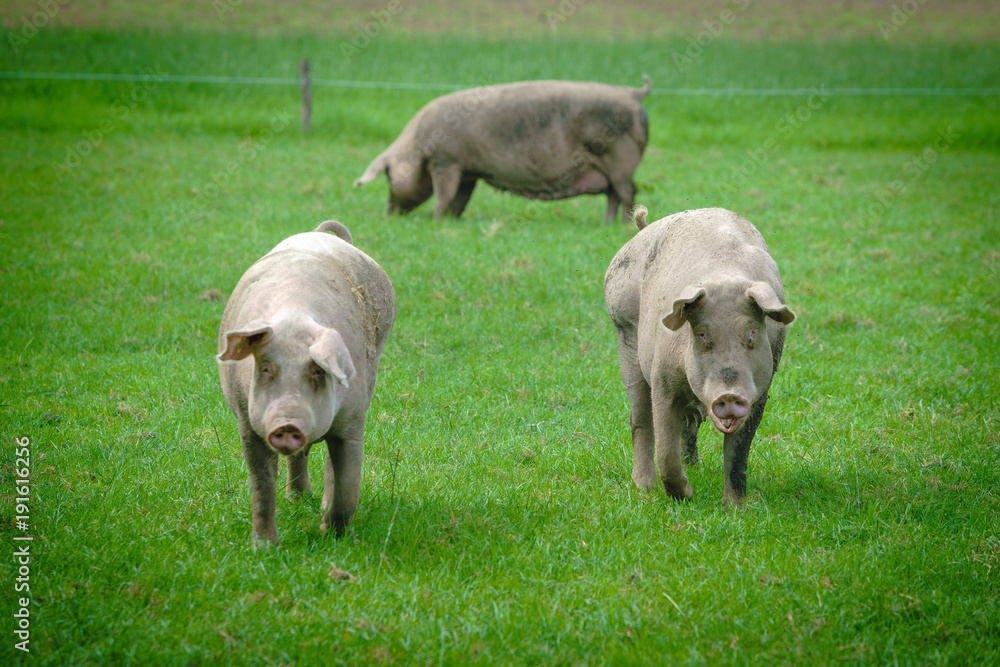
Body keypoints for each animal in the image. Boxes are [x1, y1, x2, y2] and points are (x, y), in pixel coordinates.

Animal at [218, 222, 394, 544]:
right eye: (265, 368)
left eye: (317, 371)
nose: (288, 423)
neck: (294, 318)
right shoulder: (247, 422)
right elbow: (261, 484)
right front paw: (264, 546)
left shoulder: (353, 420)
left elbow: (348, 486)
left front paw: (329, 534)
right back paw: (297, 501)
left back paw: (317, 505)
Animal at [356, 75, 652, 222]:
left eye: (388, 177)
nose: (388, 214)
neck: (417, 146)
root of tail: (633, 94)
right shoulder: (468, 172)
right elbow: (460, 198)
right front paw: (452, 220)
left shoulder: (445, 161)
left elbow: (444, 194)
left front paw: (435, 219)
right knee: (613, 194)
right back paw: (607, 222)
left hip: (619, 159)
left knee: (627, 191)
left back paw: (623, 224)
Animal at [600, 207, 796, 506]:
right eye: (702, 334)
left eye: (752, 333)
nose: (730, 395)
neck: (726, 276)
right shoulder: (662, 378)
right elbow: (665, 450)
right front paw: (686, 496)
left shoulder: (761, 390)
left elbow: (738, 455)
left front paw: (734, 508)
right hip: (625, 336)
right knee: (640, 420)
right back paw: (645, 488)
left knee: (687, 427)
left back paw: (694, 467)